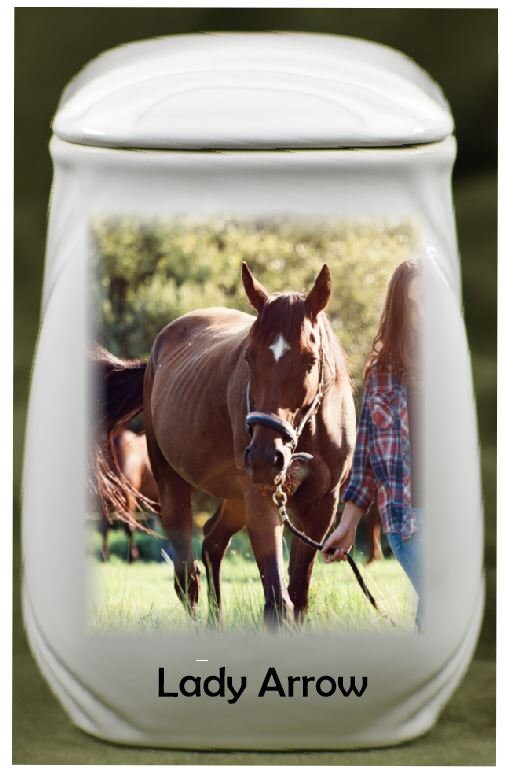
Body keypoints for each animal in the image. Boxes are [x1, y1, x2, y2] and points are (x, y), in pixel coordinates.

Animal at [100, 429, 159, 563]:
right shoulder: (107, 497)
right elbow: (105, 526)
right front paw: (105, 556)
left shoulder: (129, 495)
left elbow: (130, 526)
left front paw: (133, 556)